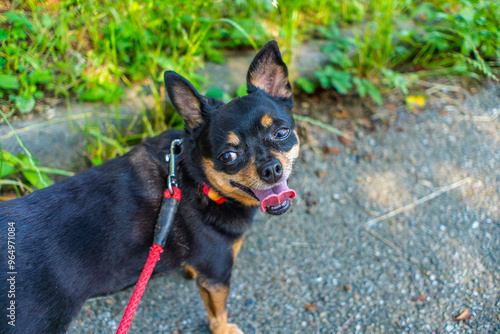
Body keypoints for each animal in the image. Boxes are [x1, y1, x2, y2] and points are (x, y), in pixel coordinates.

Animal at [0, 41, 298, 334]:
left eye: (282, 133)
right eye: (228, 157)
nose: (271, 169)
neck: (196, 180)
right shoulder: (217, 274)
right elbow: (218, 314)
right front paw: (224, 330)